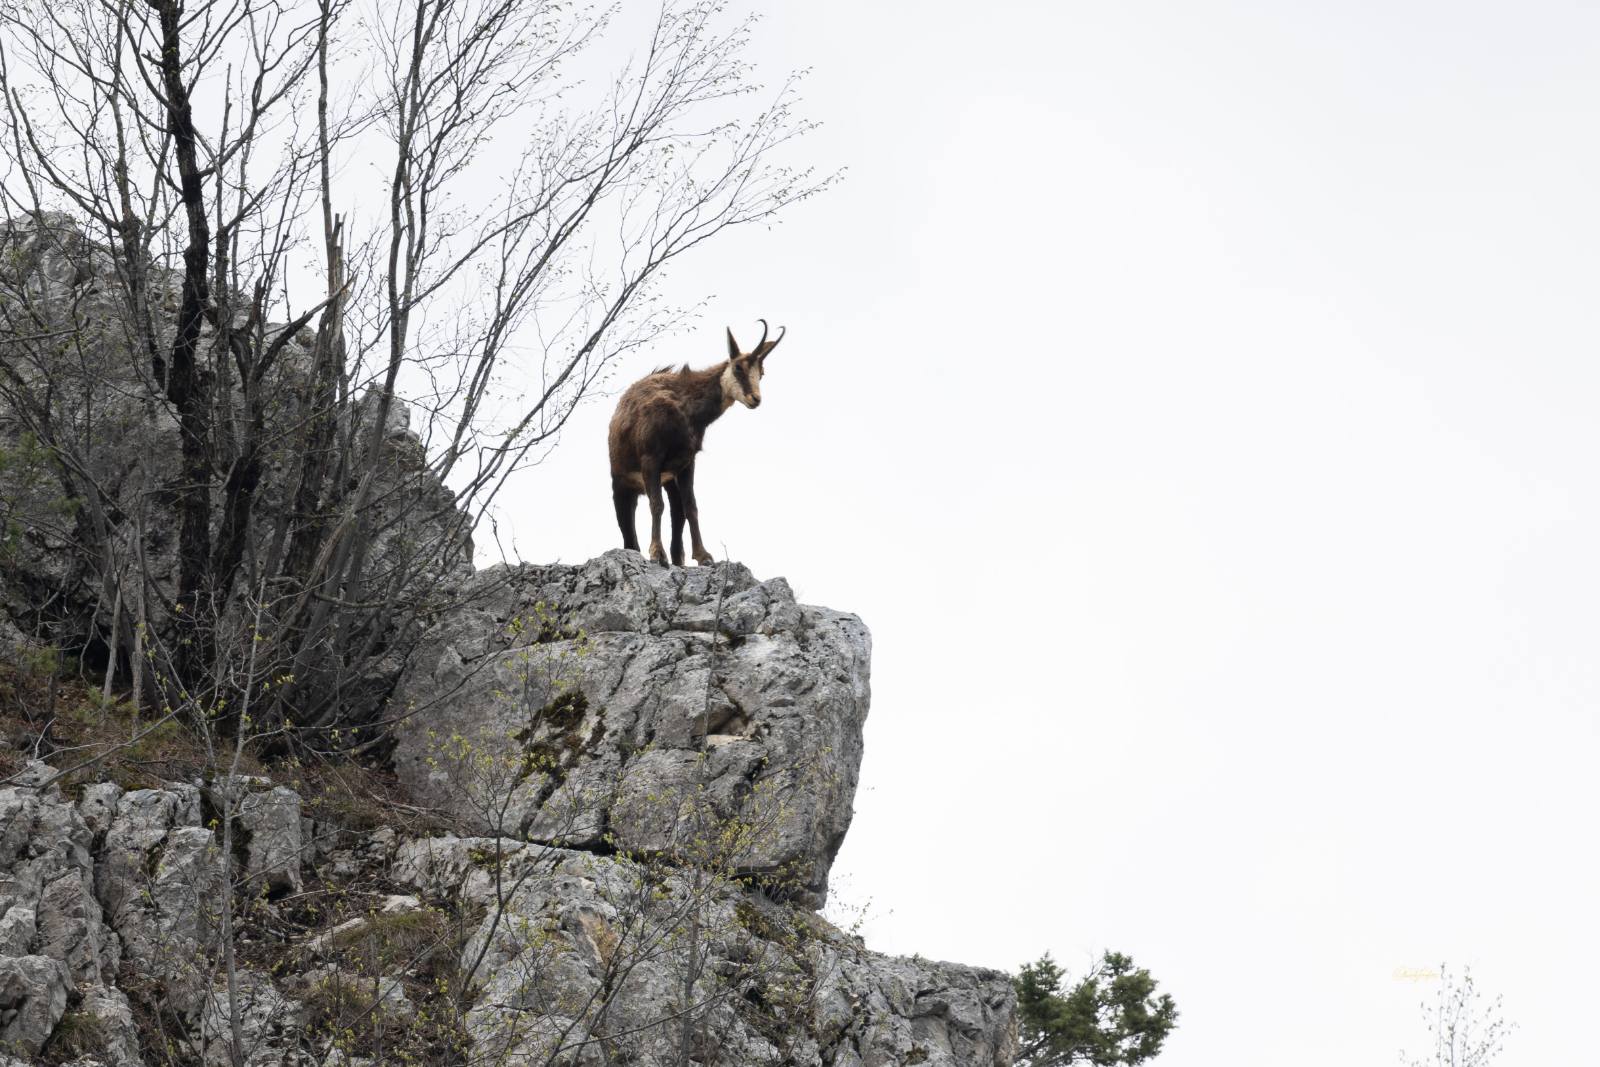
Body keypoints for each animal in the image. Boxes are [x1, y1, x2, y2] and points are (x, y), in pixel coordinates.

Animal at [608, 320, 786, 565]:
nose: (755, 399)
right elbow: (656, 504)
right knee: (627, 522)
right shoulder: (650, 458)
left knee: (677, 511)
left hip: (668, 480)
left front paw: (703, 555)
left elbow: (691, 507)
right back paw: (640, 551)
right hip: (622, 482)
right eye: (738, 367)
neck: (684, 409)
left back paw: (677, 558)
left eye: (761, 372)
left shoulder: (686, 462)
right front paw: (657, 553)